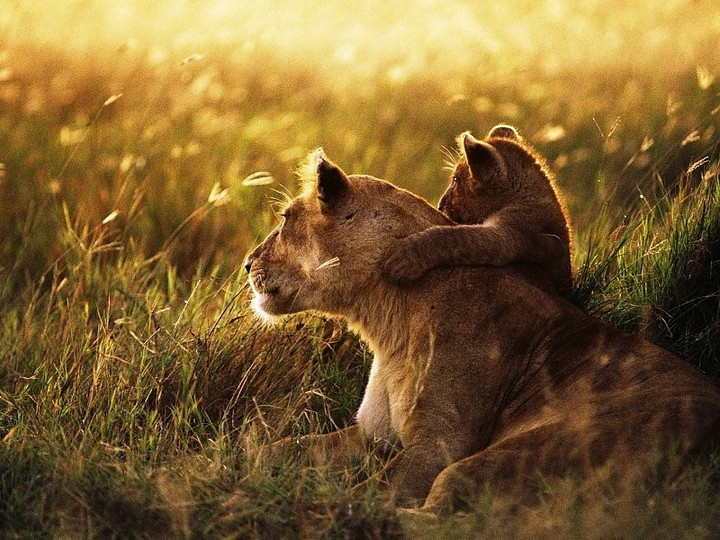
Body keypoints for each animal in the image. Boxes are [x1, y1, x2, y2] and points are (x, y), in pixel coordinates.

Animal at [245, 151, 720, 514]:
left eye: (285, 217)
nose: (248, 264)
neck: (387, 321)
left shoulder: (438, 446)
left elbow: (369, 494)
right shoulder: (371, 434)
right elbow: (278, 446)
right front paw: (249, 460)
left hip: (509, 456)